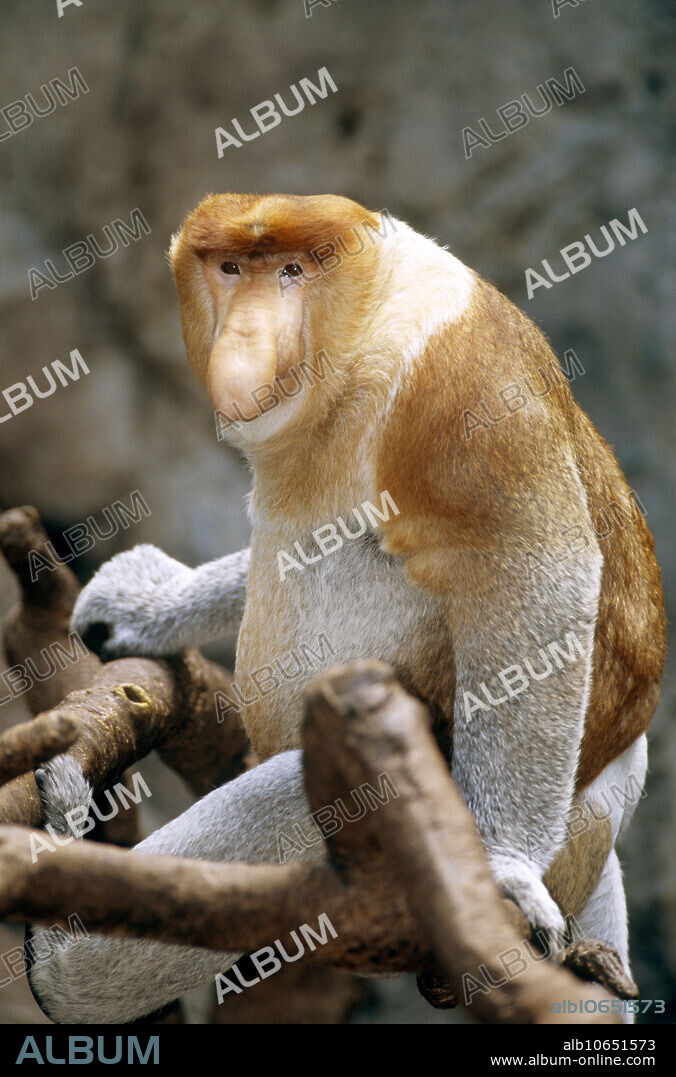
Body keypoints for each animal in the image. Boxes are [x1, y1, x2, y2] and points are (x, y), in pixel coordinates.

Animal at [27, 193, 667, 1025]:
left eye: (292, 271)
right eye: (230, 267)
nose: (245, 337)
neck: (366, 315)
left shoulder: (455, 385)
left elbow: (533, 569)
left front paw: (502, 868)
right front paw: (143, 601)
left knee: (290, 790)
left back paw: (61, 958)